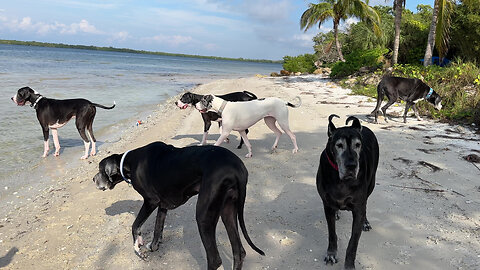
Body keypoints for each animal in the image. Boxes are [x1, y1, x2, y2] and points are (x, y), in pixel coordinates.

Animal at [93, 142, 266, 268]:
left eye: (100, 170)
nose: (93, 179)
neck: (129, 162)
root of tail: (237, 169)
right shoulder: (162, 205)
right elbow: (157, 228)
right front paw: (152, 247)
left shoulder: (150, 201)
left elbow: (135, 225)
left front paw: (139, 249)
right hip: (228, 211)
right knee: (239, 252)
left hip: (203, 217)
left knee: (215, 259)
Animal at [316, 115, 380, 268]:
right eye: (339, 145)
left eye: (358, 144)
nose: (351, 166)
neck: (342, 181)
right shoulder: (327, 206)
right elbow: (332, 234)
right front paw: (331, 254)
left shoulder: (358, 208)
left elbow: (353, 243)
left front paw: (349, 265)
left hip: (371, 184)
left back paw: (366, 222)